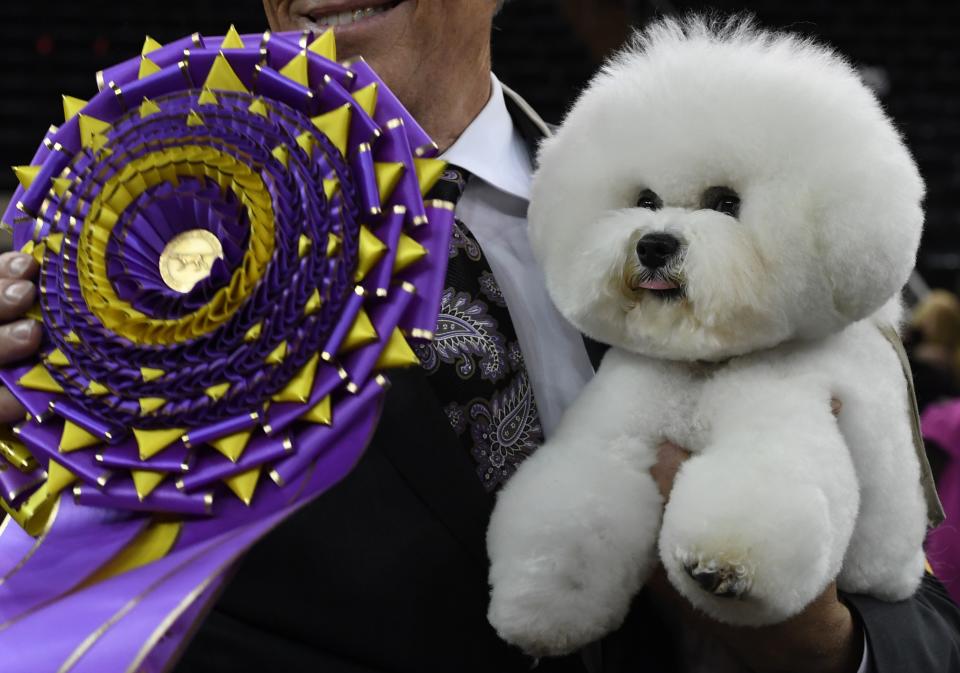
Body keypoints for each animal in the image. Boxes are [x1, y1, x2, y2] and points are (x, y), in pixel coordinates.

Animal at [488, 17, 928, 656]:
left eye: (726, 202)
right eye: (645, 200)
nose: (653, 245)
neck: (703, 367)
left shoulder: (784, 416)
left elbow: (764, 481)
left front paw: (723, 568)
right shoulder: (616, 429)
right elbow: (577, 507)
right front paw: (542, 606)